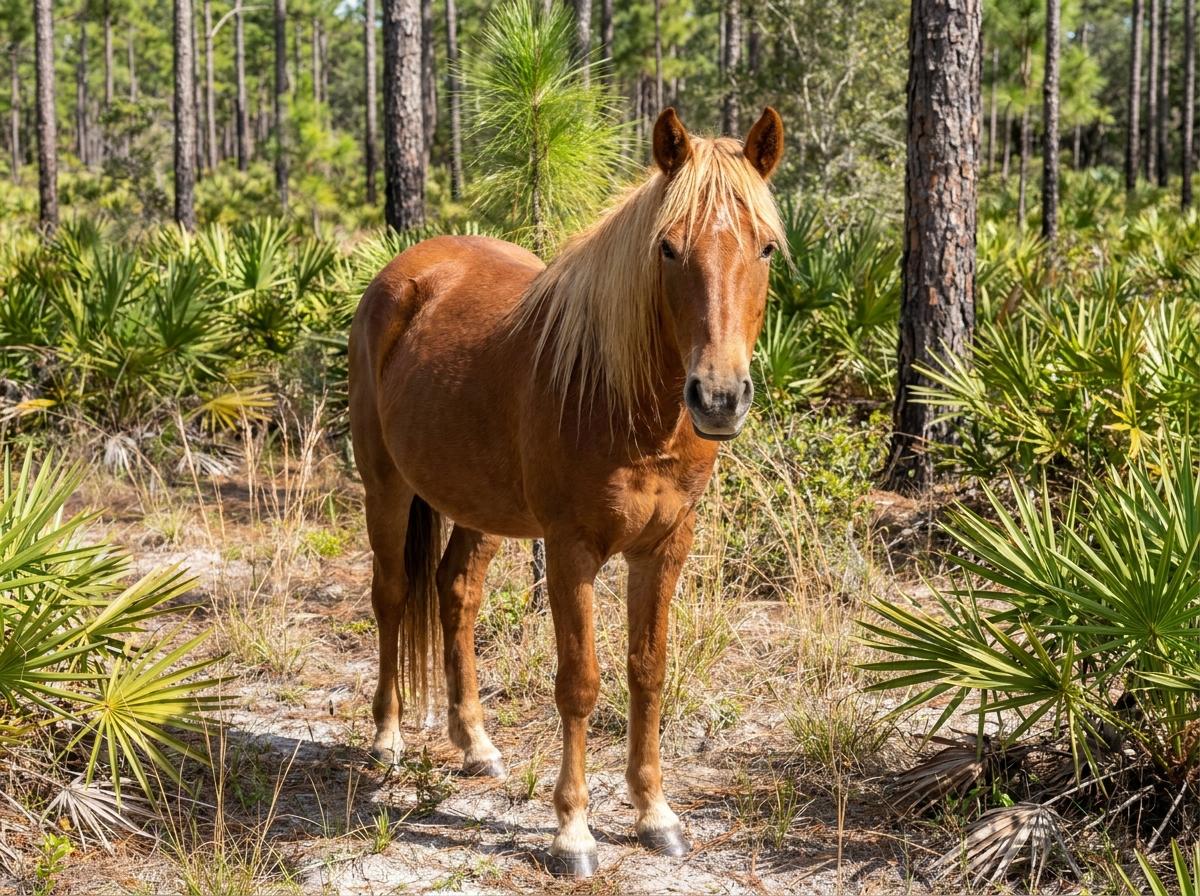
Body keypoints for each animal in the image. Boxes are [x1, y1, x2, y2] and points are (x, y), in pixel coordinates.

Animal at [348, 106, 785, 877]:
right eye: (668, 249)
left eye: (764, 248)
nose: (719, 397)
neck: (623, 398)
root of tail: (402, 273)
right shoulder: (571, 551)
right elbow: (580, 683)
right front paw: (573, 832)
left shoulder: (664, 547)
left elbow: (648, 671)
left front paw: (654, 813)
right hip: (386, 487)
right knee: (394, 597)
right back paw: (388, 739)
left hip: (478, 506)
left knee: (456, 594)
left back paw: (476, 744)